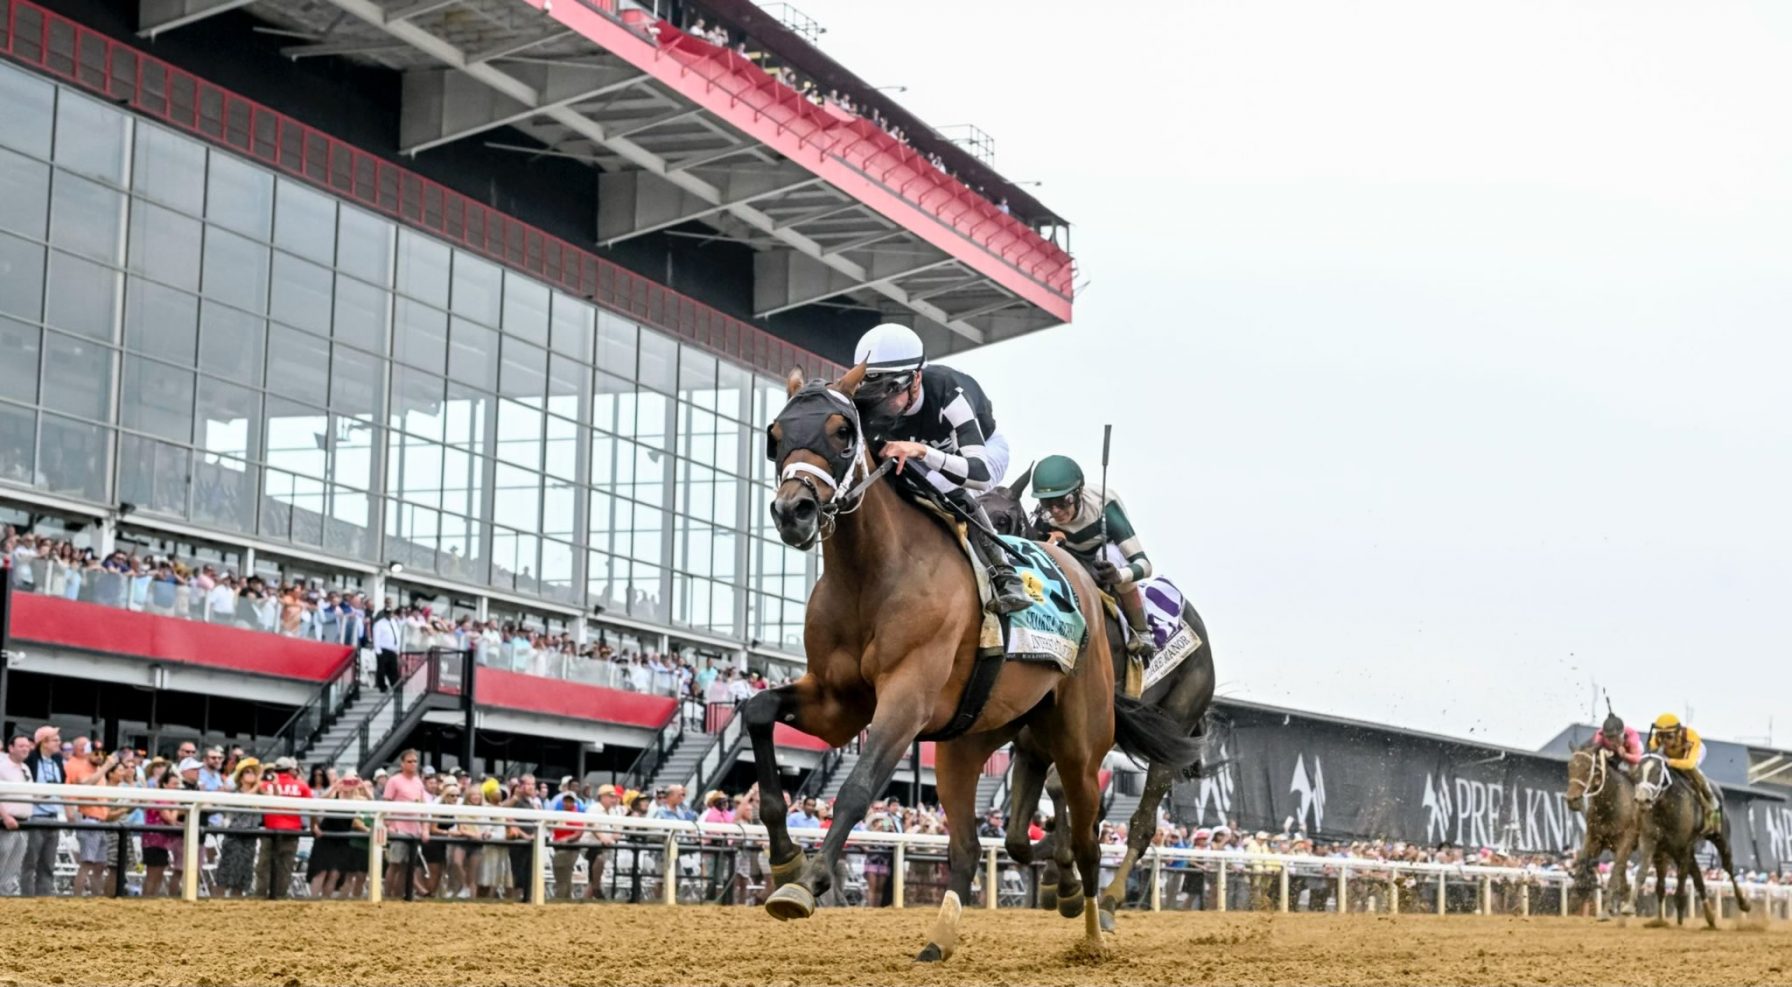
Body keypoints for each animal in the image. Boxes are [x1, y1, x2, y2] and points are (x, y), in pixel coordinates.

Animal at [982, 465, 1218, 931]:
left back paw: (1108, 902)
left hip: (1178, 720)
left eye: (1004, 518)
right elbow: (1018, 836)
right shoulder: (1029, 741)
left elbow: (1062, 789)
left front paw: (1066, 877)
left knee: (1143, 824)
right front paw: (1056, 871)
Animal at [1569, 748, 1641, 917]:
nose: (1572, 799)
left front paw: (1606, 908)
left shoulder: (1626, 840)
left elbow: (1615, 872)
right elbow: (1583, 859)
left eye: (1587, 769)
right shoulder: (1595, 837)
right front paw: (1576, 895)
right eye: (1569, 767)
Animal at [1634, 752, 1741, 931]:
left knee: (1728, 867)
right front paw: (1658, 920)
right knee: (1698, 877)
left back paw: (1743, 903)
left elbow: (1680, 886)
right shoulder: (1657, 847)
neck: (1666, 808)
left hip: (1720, 838)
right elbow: (1657, 884)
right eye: (1637, 772)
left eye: (1657, 772)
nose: (1643, 800)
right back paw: (1710, 917)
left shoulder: (1684, 847)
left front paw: (1678, 921)